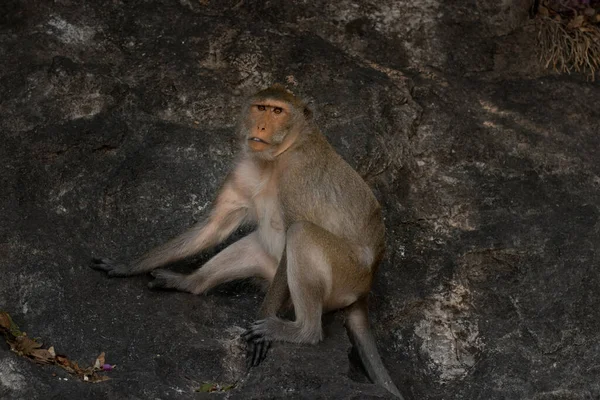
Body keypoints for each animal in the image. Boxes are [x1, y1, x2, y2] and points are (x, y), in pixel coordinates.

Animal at [90, 83, 404, 396]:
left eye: (277, 111)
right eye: (261, 108)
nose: (261, 126)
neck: (276, 158)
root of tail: (365, 291)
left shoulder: (297, 176)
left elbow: (292, 234)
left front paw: (261, 328)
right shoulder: (245, 166)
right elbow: (216, 226)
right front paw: (129, 266)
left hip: (347, 275)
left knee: (302, 233)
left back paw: (302, 331)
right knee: (254, 246)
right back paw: (190, 283)